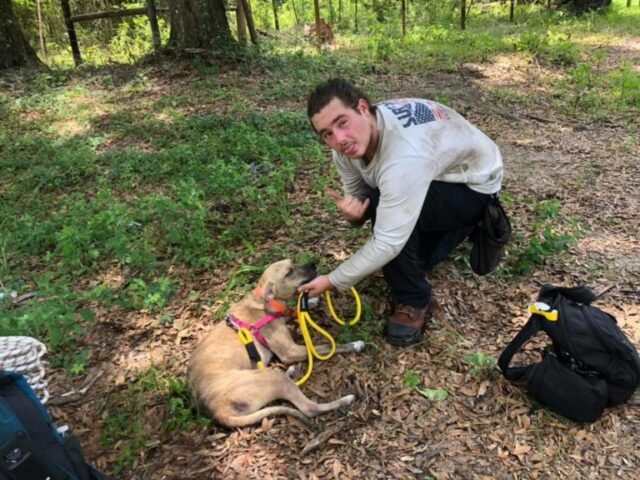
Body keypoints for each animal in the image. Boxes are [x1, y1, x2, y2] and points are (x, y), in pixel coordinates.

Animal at [188, 258, 362, 428]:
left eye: (293, 262)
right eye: (289, 273)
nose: (313, 263)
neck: (264, 302)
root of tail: (217, 412)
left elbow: (292, 311)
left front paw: (311, 301)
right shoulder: (291, 351)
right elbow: (327, 346)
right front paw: (354, 345)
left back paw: (291, 372)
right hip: (271, 377)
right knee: (309, 408)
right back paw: (344, 400)